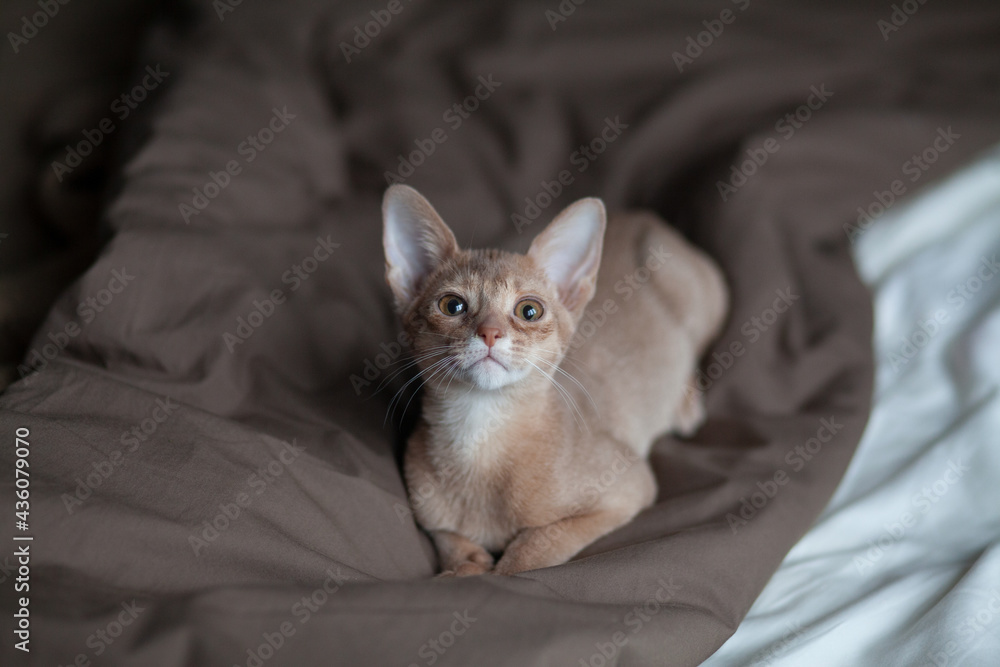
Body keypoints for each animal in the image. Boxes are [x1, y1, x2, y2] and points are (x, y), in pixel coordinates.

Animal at [382, 185, 728, 576]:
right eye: (452, 305)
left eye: (529, 311)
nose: (490, 333)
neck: (480, 438)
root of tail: (644, 215)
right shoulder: (429, 516)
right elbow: (450, 539)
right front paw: (465, 566)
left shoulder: (630, 484)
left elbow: (535, 548)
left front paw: (500, 566)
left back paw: (685, 404)